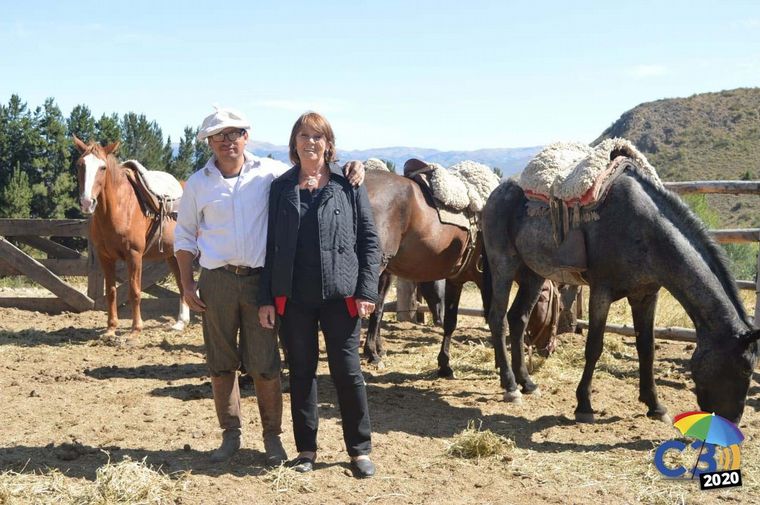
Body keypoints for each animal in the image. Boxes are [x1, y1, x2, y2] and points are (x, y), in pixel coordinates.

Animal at [72, 135, 189, 338]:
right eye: (80, 165)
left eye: (103, 167)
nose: (87, 202)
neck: (120, 208)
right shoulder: (105, 257)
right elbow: (111, 292)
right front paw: (111, 329)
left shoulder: (134, 255)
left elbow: (134, 291)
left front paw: (135, 329)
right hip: (173, 255)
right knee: (183, 283)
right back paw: (181, 323)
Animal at [484, 148, 756, 424]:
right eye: (746, 369)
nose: (732, 422)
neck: (645, 229)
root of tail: (497, 191)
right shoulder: (601, 292)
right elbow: (594, 347)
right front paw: (584, 405)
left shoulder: (646, 295)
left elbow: (646, 349)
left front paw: (655, 406)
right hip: (503, 265)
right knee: (498, 319)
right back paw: (510, 386)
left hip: (533, 274)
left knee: (518, 319)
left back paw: (527, 383)